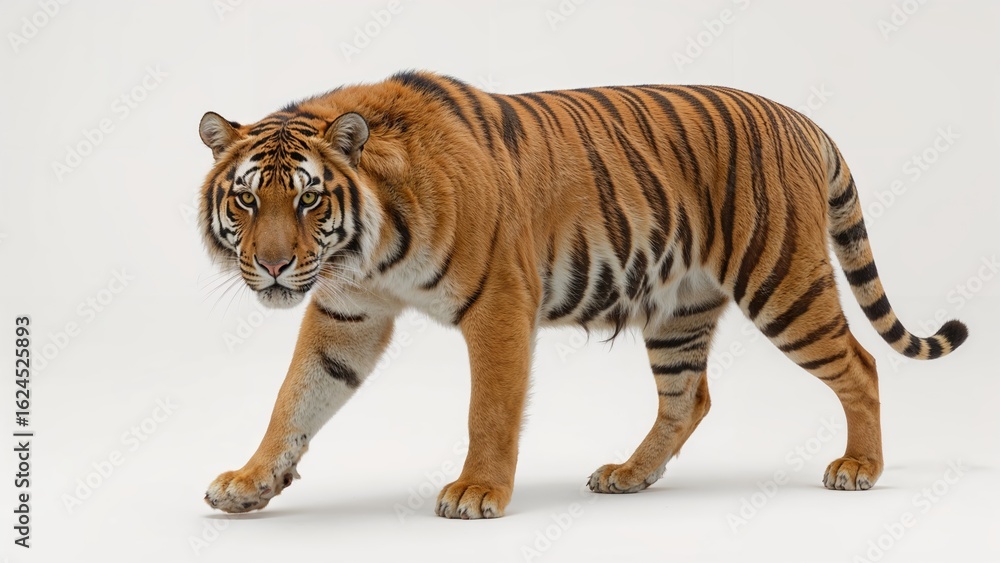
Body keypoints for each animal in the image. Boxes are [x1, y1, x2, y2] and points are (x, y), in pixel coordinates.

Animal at [197, 70, 968, 519]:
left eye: (307, 199)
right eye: (246, 200)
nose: (272, 266)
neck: (367, 249)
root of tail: (803, 120)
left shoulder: (499, 303)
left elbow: (490, 410)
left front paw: (477, 491)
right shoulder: (347, 313)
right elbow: (296, 397)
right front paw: (250, 481)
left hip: (783, 281)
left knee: (861, 365)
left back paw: (859, 468)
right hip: (681, 309)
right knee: (690, 397)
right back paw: (629, 474)